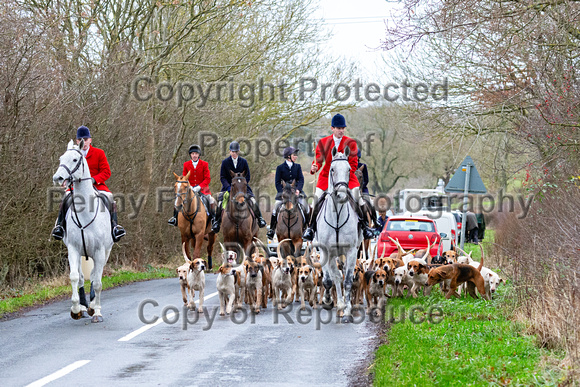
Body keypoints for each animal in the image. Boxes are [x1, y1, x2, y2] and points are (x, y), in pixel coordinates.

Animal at [52, 141, 112, 322]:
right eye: (61, 158)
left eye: (74, 159)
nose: (57, 178)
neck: (86, 213)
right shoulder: (73, 249)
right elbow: (74, 276)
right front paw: (76, 308)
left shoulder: (99, 251)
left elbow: (97, 282)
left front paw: (97, 311)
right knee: (81, 276)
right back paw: (85, 306)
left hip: (105, 252)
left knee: (95, 276)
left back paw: (92, 305)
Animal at [314, 147, 360, 322]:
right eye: (332, 169)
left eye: (349, 170)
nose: (342, 195)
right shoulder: (327, 251)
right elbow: (330, 279)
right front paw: (331, 302)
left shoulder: (351, 251)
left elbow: (347, 281)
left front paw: (347, 312)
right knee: (333, 276)